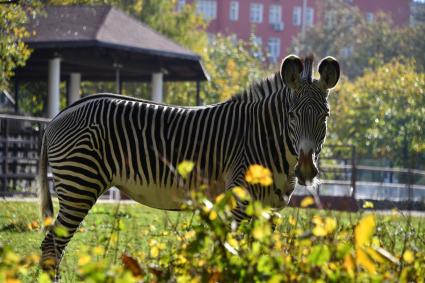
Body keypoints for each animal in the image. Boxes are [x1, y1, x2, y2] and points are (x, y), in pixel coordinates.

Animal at [39, 55, 338, 276]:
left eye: (325, 116)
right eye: (292, 115)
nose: (306, 169)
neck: (266, 138)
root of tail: (58, 116)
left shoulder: (266, 209)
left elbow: (257, 254)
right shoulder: (239, 200)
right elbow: (232, 250)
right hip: (81, 183)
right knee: (52, 245)